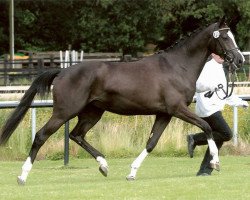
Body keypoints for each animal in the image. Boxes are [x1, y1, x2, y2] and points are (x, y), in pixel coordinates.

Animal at [0, 18, 244, 185]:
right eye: (225, 37)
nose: (240, 59)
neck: (177, 67)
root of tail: (62, 72)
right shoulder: (178, 109)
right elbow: (206, 126)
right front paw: (215, 162)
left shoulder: (164, 113)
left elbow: (151, 143)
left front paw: (132, 172)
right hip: (63, 112)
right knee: (41, 136)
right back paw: (22, 176)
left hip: (92, 113)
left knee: (77, 135)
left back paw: (104, 166)